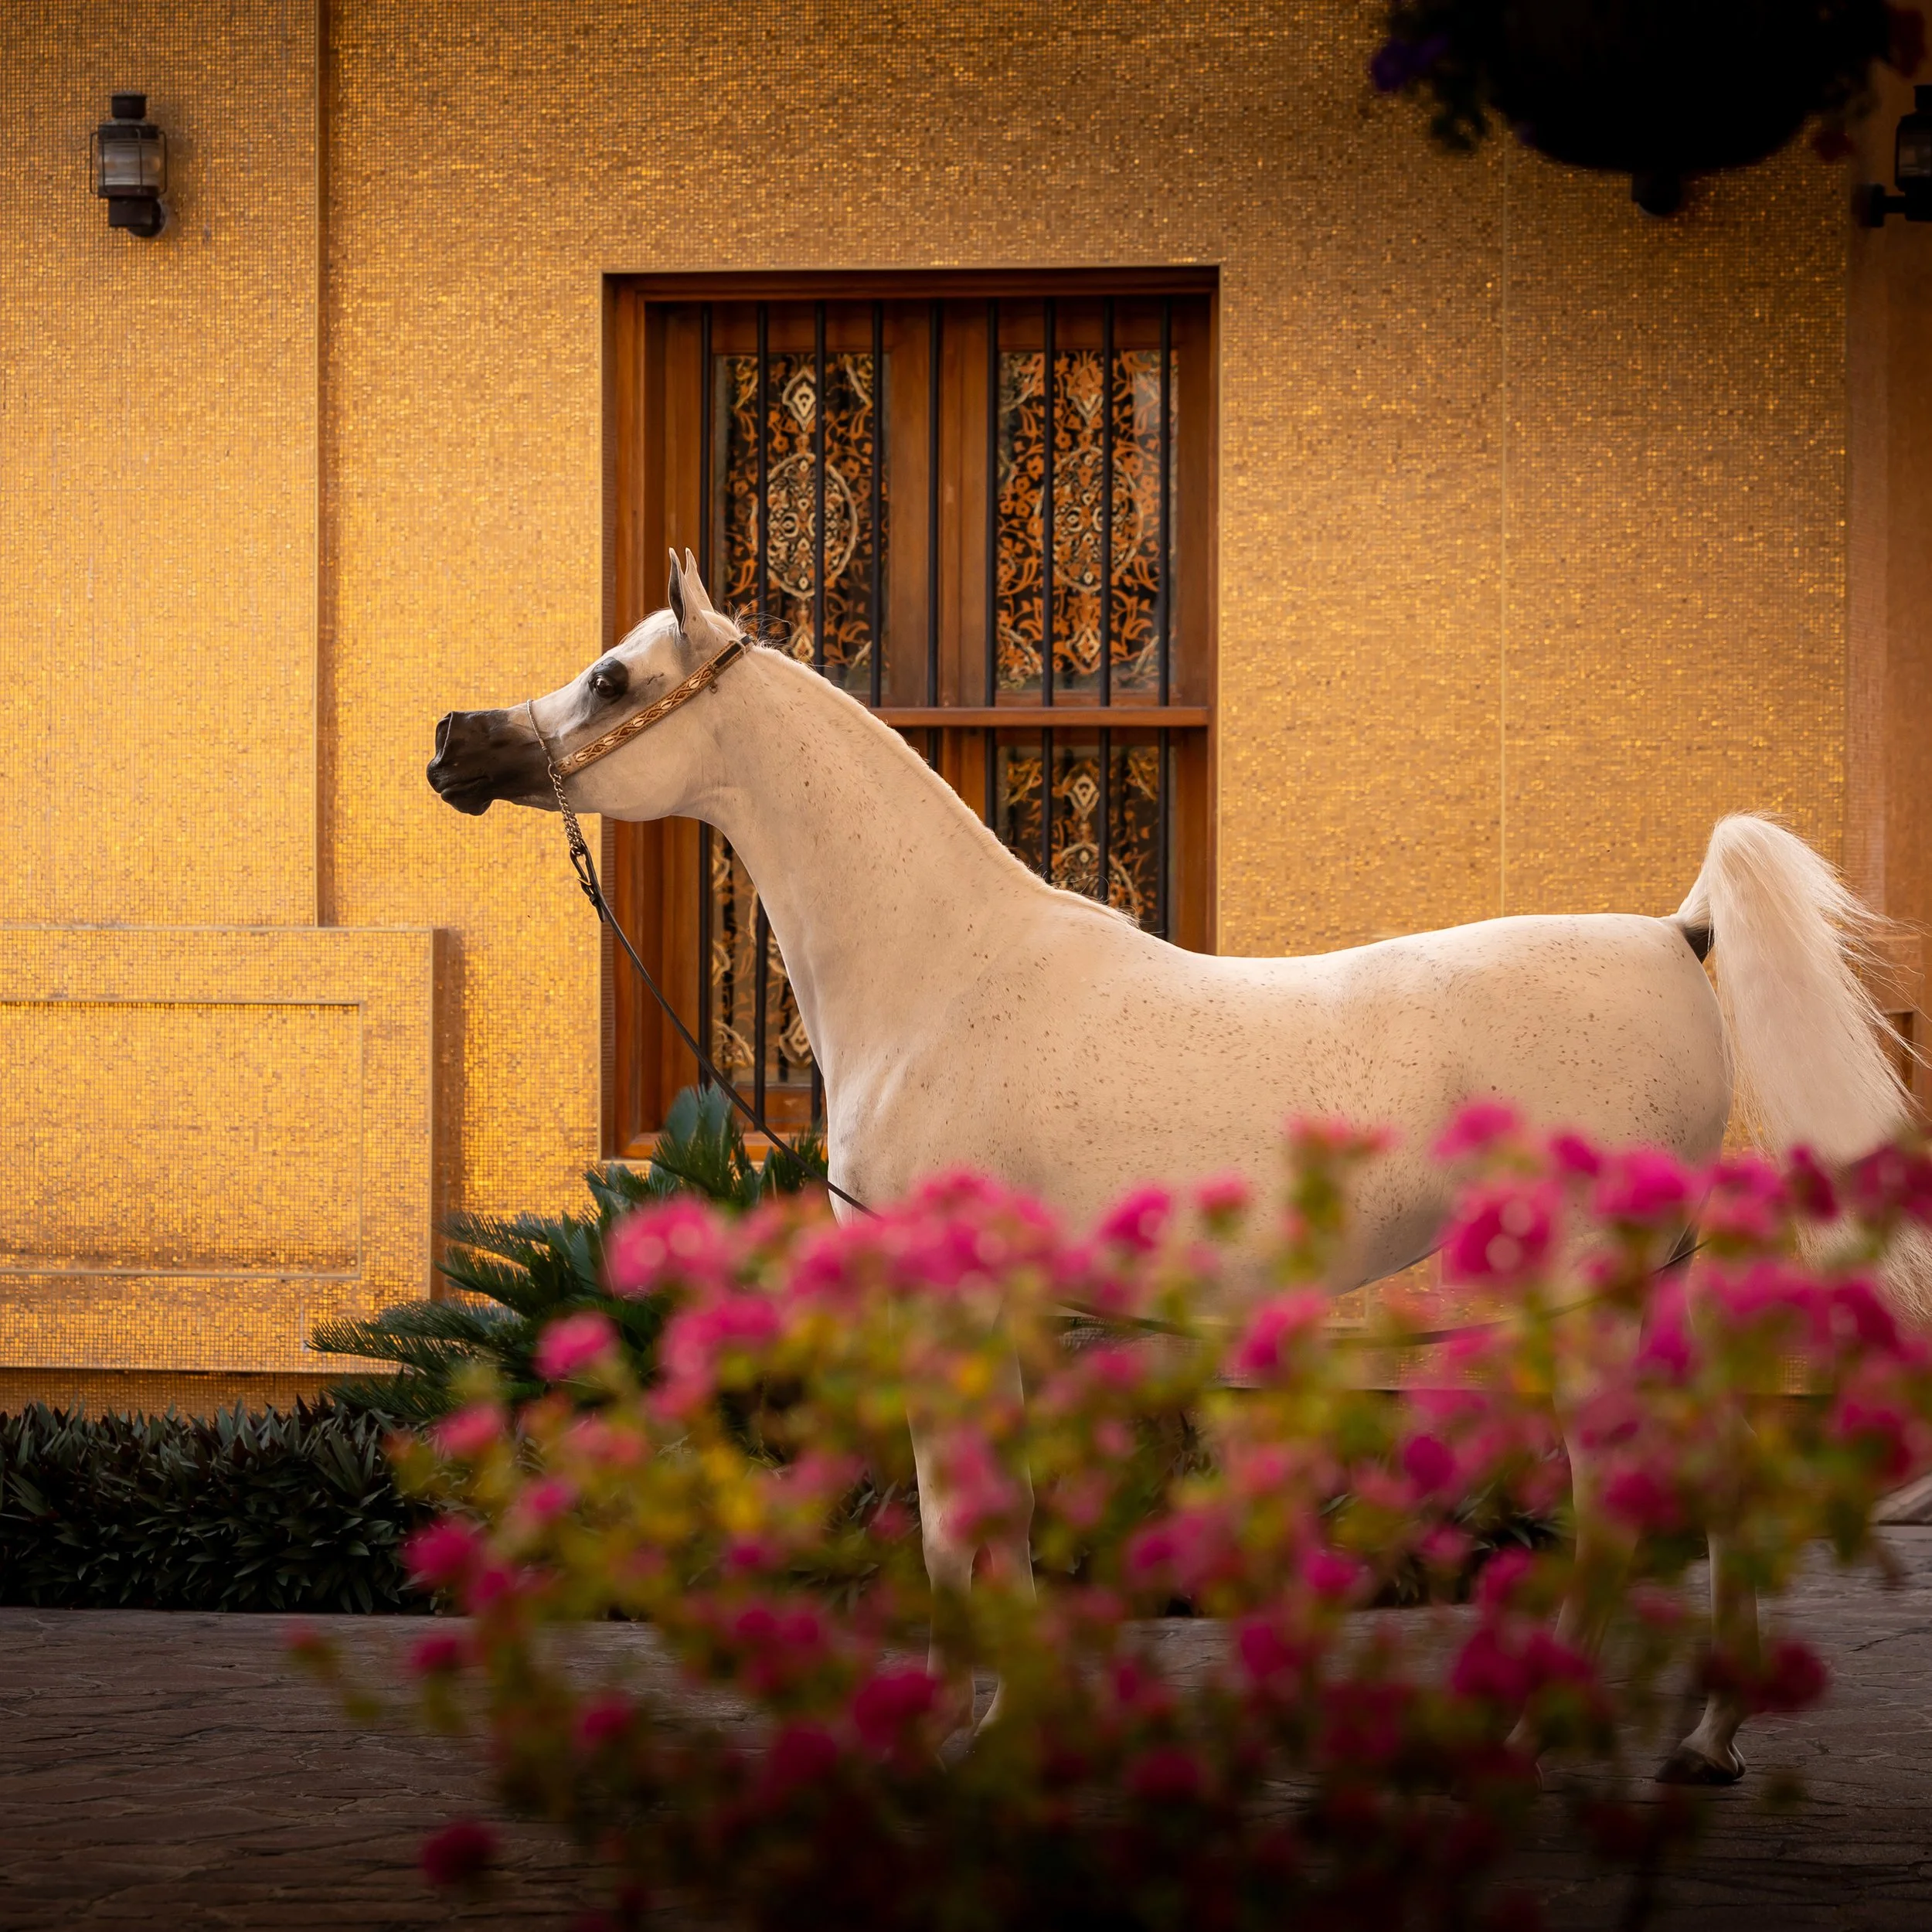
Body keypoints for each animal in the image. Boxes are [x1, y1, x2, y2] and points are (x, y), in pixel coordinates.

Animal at [429, 551, 1922, 1783]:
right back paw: (1708, 1739)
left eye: (614, 677)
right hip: (1644, 1289)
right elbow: (999, 1513)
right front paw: (1008, 1717)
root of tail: (1677, 934)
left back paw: (1519, 1735)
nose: (454, 743)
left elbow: (949, 1520)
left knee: (1616, 1503)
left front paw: (967, 1730)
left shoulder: (944, 1302)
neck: (946, 974)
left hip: (1582, 1298)